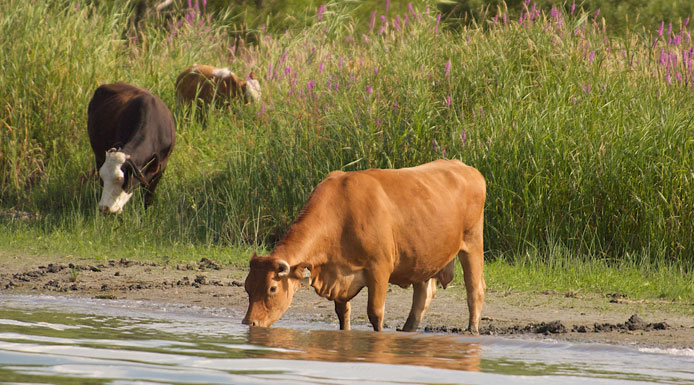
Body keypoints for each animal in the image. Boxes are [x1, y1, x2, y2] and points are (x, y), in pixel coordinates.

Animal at [86, 81, 177, 213]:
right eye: (103, 176)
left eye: (120, 179)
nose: (104, 208)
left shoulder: (161, 166)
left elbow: (148, 194)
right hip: (98, 157)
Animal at [245, 159, 490, 332]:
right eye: (247, 287)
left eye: (272, 288)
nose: (249, 323)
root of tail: (464, 167)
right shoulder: (339, 275)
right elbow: (342, 313)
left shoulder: (380, 267)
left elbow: (375, 312)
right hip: (424, 256)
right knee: (423, 294)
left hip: (473, 242)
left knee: (475, 289)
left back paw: (472, 330)